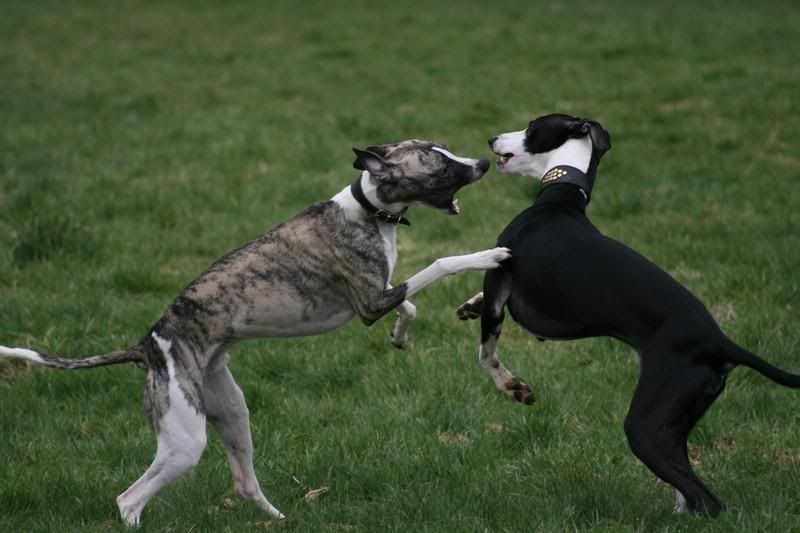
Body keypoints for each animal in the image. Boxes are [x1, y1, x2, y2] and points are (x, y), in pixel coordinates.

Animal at [456, 113, 800, 516]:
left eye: (533, 127)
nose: (492, 138)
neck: (560, 199)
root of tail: (720, 342)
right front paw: (470, 304)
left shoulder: (499, 279)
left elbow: (486, 353)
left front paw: (512, 386)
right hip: (673, 425)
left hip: (645, 427)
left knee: (708, 500)